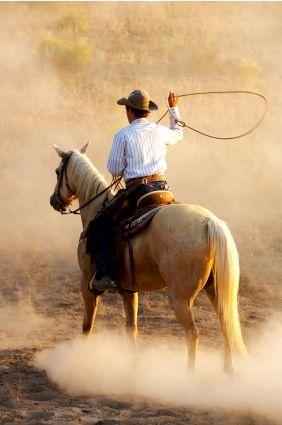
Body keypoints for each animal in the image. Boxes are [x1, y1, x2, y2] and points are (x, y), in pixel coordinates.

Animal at [50, 142, 247, 372]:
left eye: (57, 171)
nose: (54, 201)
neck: (95, 209)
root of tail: (208, 222)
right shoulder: (128, 289)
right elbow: (131, 328)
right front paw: (132, 364)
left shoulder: (87, 282)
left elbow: (87, 325)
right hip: (214, 289)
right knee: (226, 324)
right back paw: (228, 371)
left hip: (181, 298)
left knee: (193, 334)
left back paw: (190, 375)